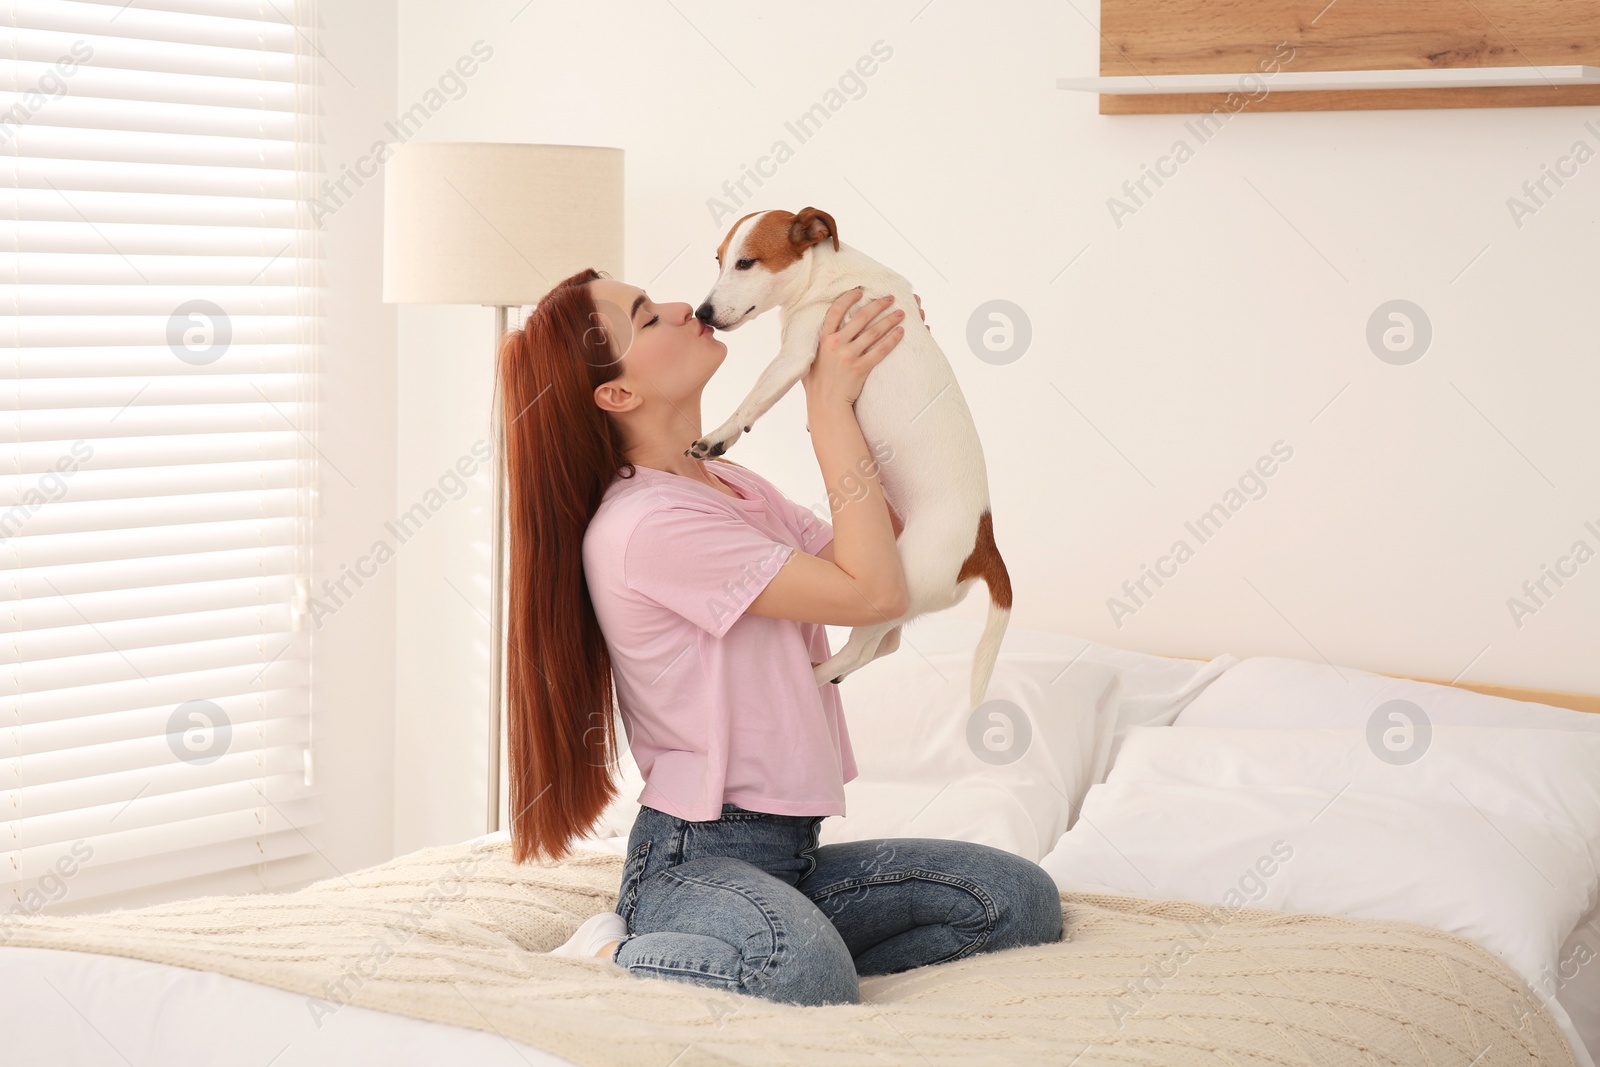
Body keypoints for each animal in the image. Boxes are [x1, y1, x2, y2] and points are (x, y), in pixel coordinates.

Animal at [688, 206, 1011, 713]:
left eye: (746, 263)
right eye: (718, 260)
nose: (700, 313)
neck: (829, 275)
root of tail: (984, 545)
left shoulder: (797, 352)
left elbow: (751, 401)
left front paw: (717, 437)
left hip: (893, 591)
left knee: (863, 647)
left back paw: (816, 675)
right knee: (886, 645)